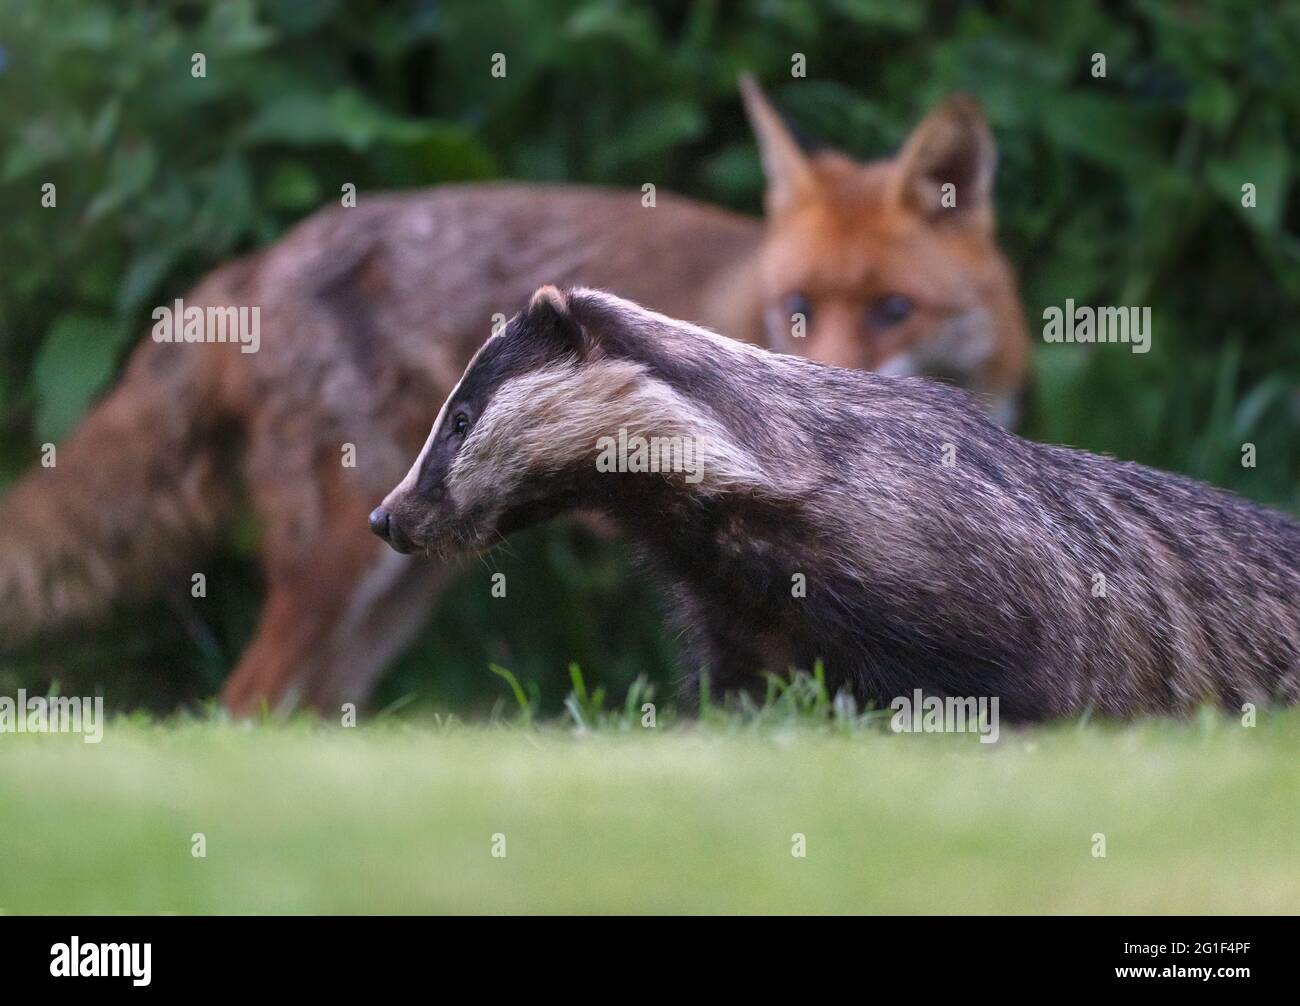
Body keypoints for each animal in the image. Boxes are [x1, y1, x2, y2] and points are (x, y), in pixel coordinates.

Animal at [0, 81, 1030, 713]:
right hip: (346, 565)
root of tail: (258, 262)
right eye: (799, 310)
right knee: (243, 699)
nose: (839, 378)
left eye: (895, 311)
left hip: (399, 581)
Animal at [374, 286, 1300, 719]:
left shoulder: (956, 576)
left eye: (460, 419)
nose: (389, 517)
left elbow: (998, 693)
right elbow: (741, 686)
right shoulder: (734, 597)